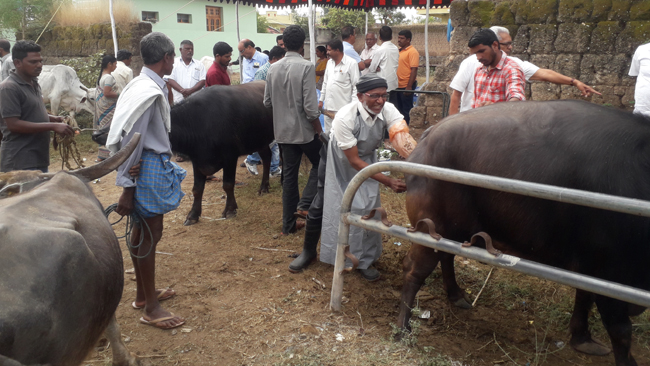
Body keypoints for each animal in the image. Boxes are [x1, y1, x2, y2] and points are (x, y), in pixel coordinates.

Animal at [168, 81, 272, 224]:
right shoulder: (198, 160)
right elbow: (197, 189)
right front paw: (193, 215)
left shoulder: (230, 157)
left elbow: (228, 185)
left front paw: (230, 210)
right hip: (260, 141)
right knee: (267, 158)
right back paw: (264, 187)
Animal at [400, 100, 648, 366]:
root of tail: (429, 135)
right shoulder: (610, 272)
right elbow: (620, 329)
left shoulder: (590, 266)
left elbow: (584, 296)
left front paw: (582, 338)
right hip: (430, 227)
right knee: (414, 270)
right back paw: (402, 329)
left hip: (453, 228)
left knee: (446, 256)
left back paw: (457, 296)